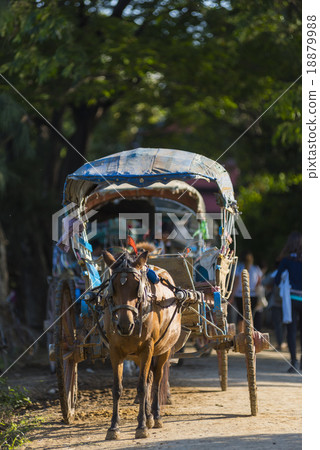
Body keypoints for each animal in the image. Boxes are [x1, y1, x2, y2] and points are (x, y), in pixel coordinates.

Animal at [103, 250, 182, 440]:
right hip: (138, 356)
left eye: (136, 286)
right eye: (113, 286)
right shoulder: (115, 351)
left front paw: (141, 427)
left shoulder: (147, 349)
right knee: (149, 379)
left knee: (156, 380)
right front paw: (113, 427)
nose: (125, 325)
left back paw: (156, 416)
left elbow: (141, 388)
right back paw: (148, 416)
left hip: (163, 351)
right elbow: (117, 388)